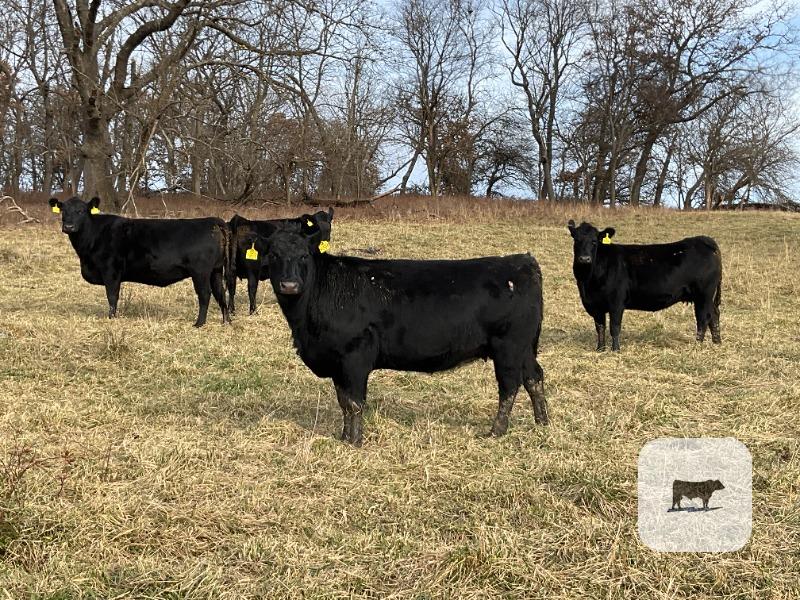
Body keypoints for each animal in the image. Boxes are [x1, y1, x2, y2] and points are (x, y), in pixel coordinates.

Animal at [49, 196, 231, 327]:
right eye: (63, 211)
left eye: (81, 211)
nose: (69, 227)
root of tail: (212, 221)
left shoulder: (111, 270)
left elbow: (112, 296)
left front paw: (111, 318)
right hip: (216, 270)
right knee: (221, 293)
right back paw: (226, 321)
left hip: (201, 272)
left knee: (205, 294)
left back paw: (199, 323)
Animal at [264, 218, 548, 446]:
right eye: (274, 255)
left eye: (304, 255)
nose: (289, 285)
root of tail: (522, 261)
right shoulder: (337, 363)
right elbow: (343, 401)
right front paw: (344, 437)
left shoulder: (354, 357)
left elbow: (354, 403)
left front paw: (354, 442)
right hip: (524, 348)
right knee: (534, 378)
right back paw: (542, 422)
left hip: (508, 347)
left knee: (509, 386)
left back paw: (496, 431)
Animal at [567, 220, 722, 351]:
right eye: (576, 240)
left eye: (594, 241)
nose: (585, 259)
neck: (588, 281)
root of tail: (704, 240)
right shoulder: (594, 305)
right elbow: (600, 327)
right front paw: (600, 349)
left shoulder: (616, 302)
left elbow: (614, 327)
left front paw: (615, 350)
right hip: (706, 297)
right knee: (714, 315)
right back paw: (717, 342)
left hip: (703, 295)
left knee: (703, 318)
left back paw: (697, 345)